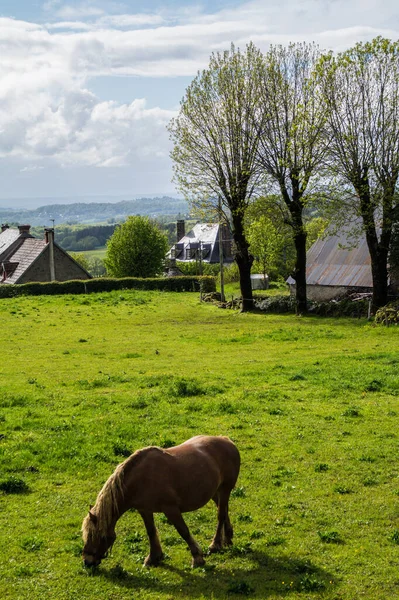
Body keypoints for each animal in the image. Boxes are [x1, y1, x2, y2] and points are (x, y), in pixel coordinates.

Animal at [81, 436, 241, 568]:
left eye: (98, 536)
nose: (87, 562)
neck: (141, 480)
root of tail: (227, 441)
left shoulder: (171, 509)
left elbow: (183, 531)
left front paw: (197, 558)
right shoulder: (144, 510)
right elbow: (151, 531)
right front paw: (154, 557)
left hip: (225, 489)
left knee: (220, 515)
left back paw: (215, 545)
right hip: (215, 492)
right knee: (224, 510)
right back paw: (228, 538)